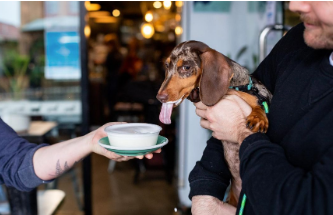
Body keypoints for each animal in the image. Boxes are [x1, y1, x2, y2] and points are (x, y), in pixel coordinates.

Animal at [155, 40, 270, 207]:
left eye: (186, 67)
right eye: (166, 65)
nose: (159, 97)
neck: (233, 86)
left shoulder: (255, 97)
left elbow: (255, 102)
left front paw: (258, 117)